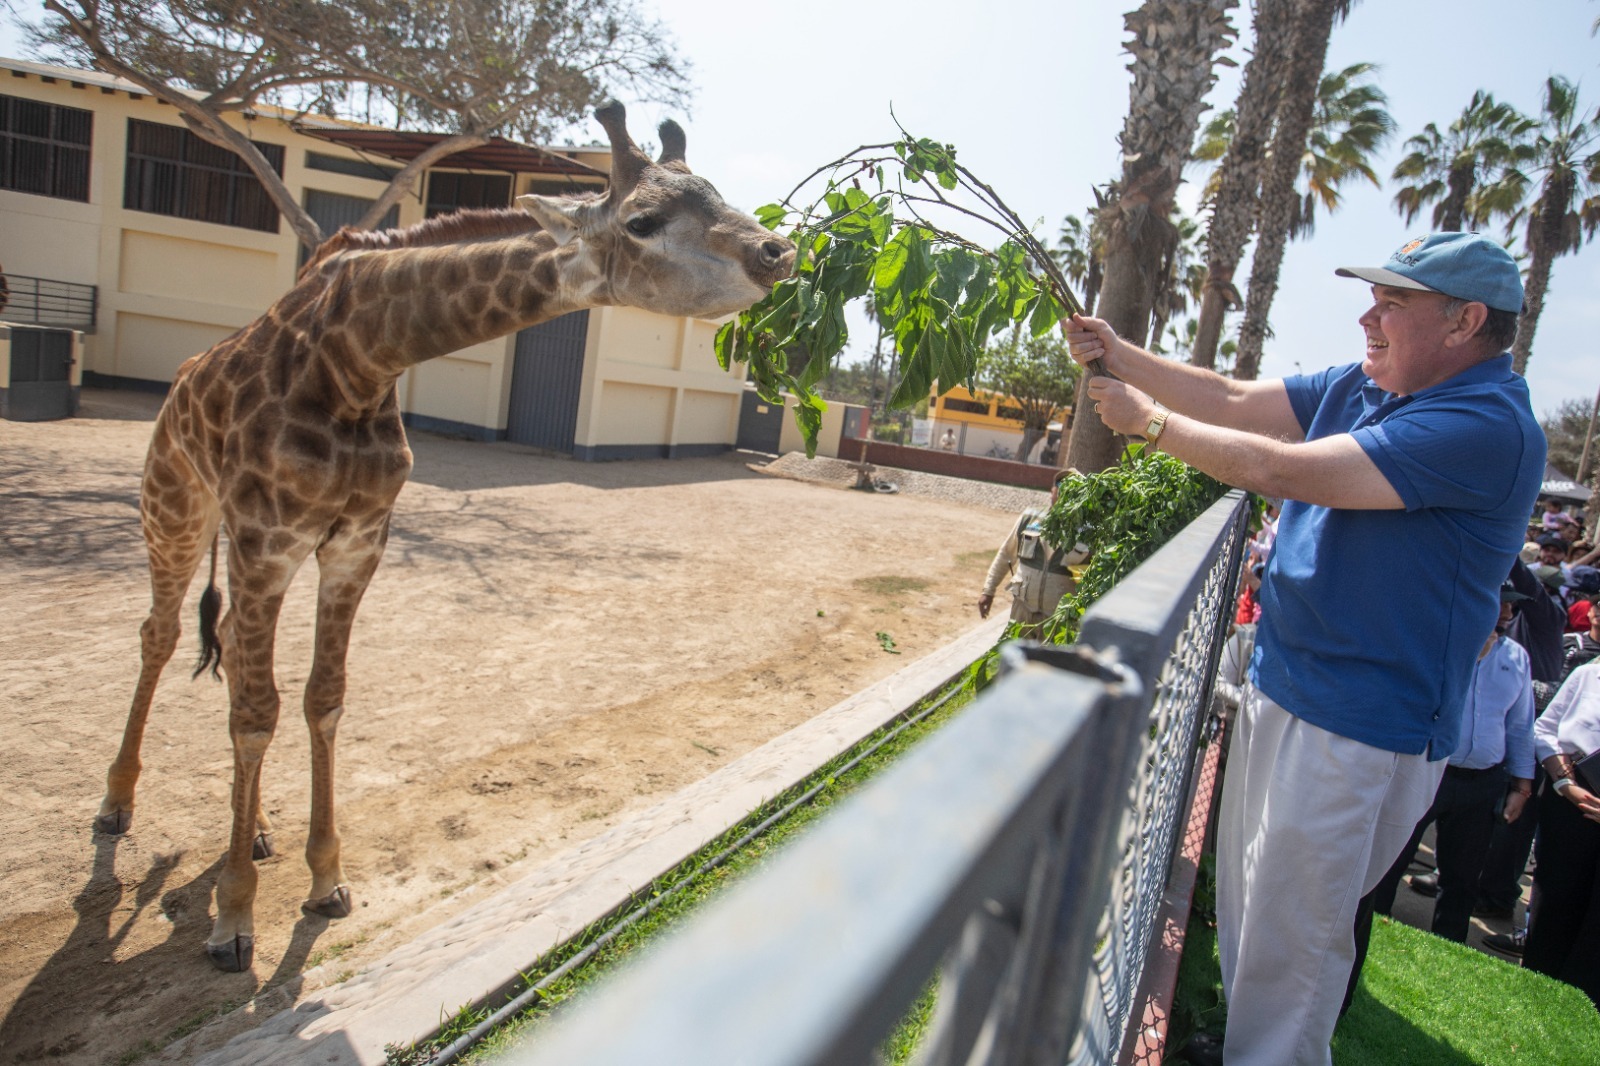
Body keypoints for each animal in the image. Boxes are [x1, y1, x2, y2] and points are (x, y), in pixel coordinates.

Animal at [92, 101, 793, 973]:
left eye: (718, 191)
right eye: (641, 221)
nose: (778, 251)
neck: (360, 357)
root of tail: (182, 378)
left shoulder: (356, 543)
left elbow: (322, 697)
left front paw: (325, 880)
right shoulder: (267, 538)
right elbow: (258, 713)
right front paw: (234, 922)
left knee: (223, 657)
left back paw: (253, 831)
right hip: (177, 507)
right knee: (159, 636)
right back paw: (116, 804)